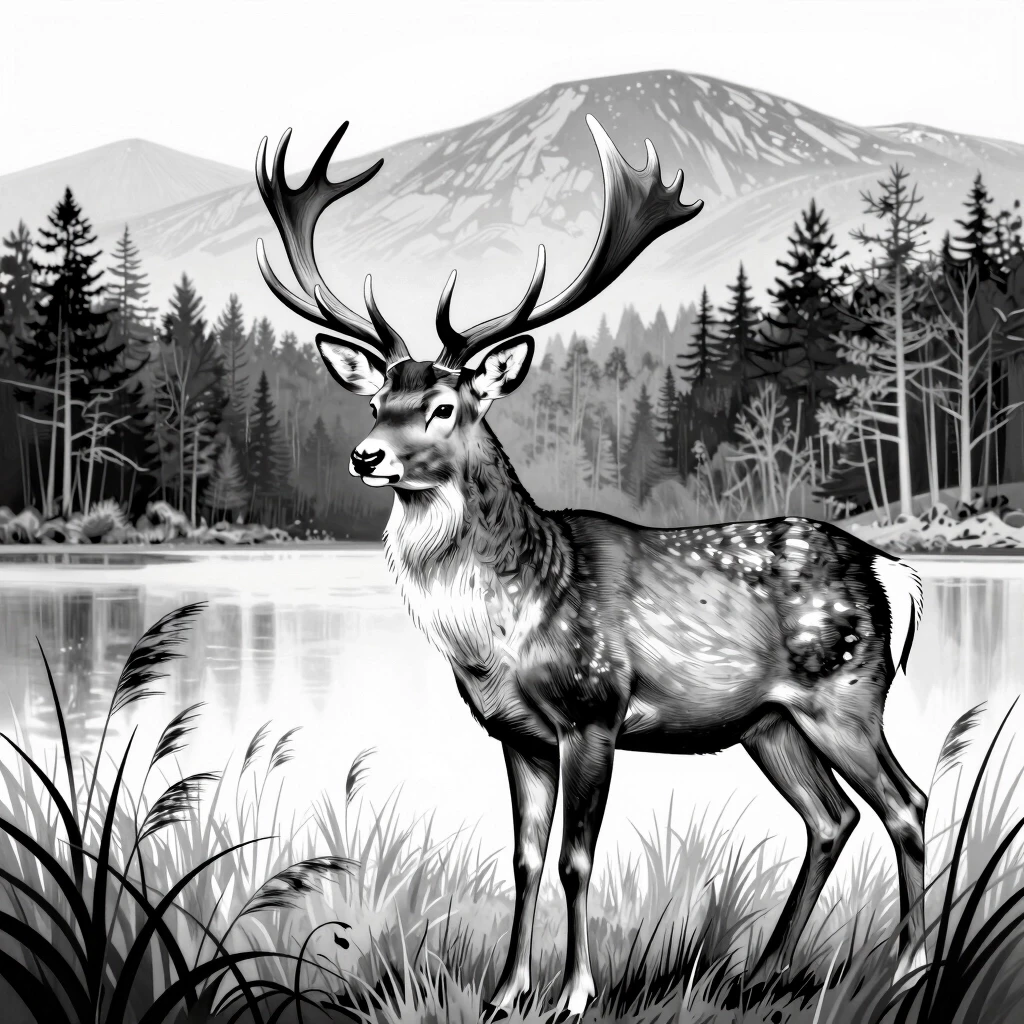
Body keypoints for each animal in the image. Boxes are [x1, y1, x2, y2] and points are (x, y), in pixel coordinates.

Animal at [255, 115, 929, 1016]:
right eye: (374, 402)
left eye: (445, 406)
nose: (366, 456)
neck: (506, 631)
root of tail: (893, 571)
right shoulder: (517, 734)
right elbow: (524, 859)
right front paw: (505, 992)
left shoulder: (595, 711)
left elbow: (578, 859)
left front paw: (574, 993)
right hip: (769, 722)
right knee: (830, 818)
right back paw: (763, 971)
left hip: (848, 695)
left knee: (905, 805)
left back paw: (908, 966)